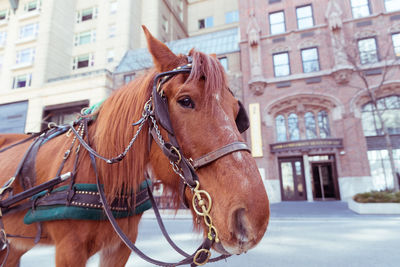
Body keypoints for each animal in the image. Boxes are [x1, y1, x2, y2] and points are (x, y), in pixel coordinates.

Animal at [0, 25, 270, 267]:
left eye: (236, 110)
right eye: (185, 101)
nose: (252, 218)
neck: (104, 175)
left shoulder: (119, 248)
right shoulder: (69, 249)